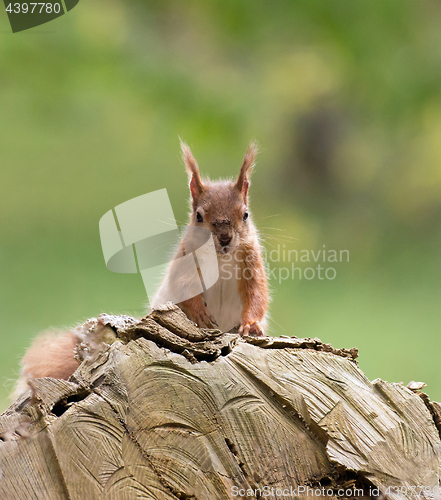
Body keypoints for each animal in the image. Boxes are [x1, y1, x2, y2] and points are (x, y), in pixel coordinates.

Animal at [12, 141, 268, 398]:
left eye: (245, 214)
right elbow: (184, 286)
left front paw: (251, 325)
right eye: (198, 216)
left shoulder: (251, 263)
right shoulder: (185, 260)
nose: (225, 238)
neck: (221, 259)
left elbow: (257, 294)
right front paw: (200, 314)